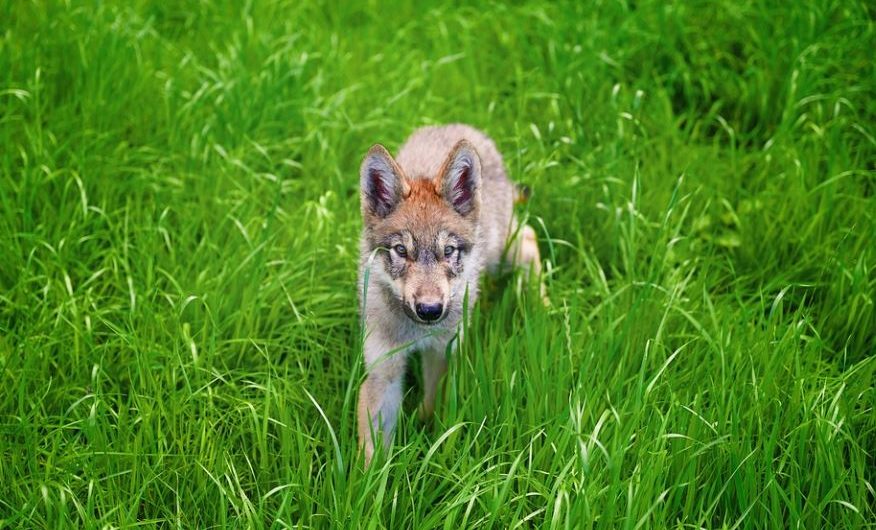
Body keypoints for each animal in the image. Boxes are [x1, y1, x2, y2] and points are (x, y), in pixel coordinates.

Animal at [356, 124, 544, 465]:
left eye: (448, 251)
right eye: (401, 250)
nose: (430, 309)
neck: (416, 332)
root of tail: (464, 128)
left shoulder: (442, 354)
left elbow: (432, 406)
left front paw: (425, 437)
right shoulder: (382, 373)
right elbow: (373, 456)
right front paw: (368, 480)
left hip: (500, 254)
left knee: (528, 237)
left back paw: (544, 306)